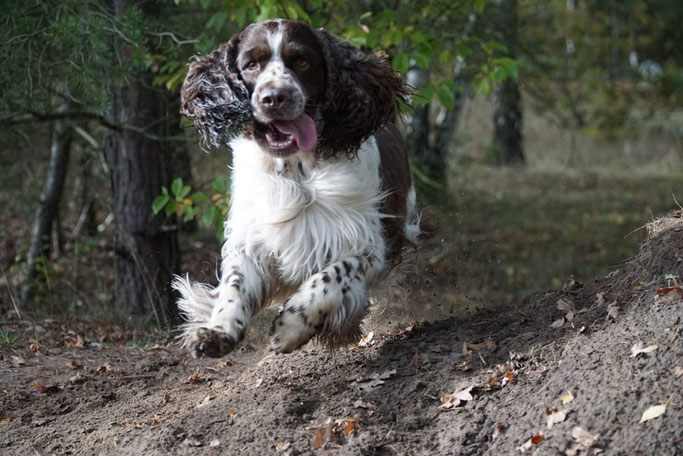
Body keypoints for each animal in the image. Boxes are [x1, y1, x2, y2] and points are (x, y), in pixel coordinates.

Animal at [175, 19, 422, 358]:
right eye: (251, 65)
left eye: (302, 61)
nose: (274, 97)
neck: (295, 171)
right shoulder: (252, 237)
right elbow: (234, 285)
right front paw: (217, 331)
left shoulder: (369, 244)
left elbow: (333, 274)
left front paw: (292, 326)